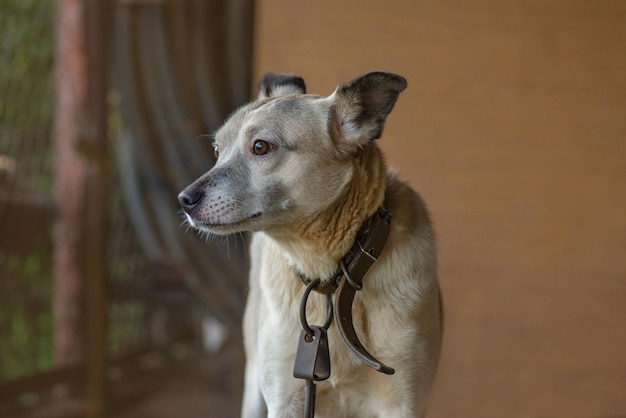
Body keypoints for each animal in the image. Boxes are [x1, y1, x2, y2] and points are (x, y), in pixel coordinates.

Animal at [178, 72, 442, 418]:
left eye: (260, 146)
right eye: (216, 150)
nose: (184, 200)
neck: (329, 278)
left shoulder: (402, 402)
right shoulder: (285, 398)